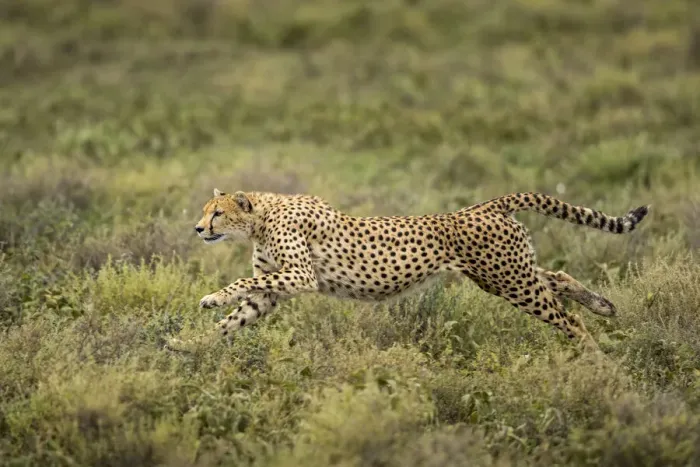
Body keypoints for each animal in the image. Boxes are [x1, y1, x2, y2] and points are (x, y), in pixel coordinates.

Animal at [168, 188, 649, 352]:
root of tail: (487, 204)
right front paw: (188, 345)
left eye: (216, 213)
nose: (198, 228)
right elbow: (235, 319)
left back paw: (597, 361)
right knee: (558, 279)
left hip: (510, 280)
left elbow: (243, 281)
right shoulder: (273, 290)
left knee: (566, 318)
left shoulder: (300, 277)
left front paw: (211, 297)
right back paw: (603, 307)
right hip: (502, 276)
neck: (262, 216)